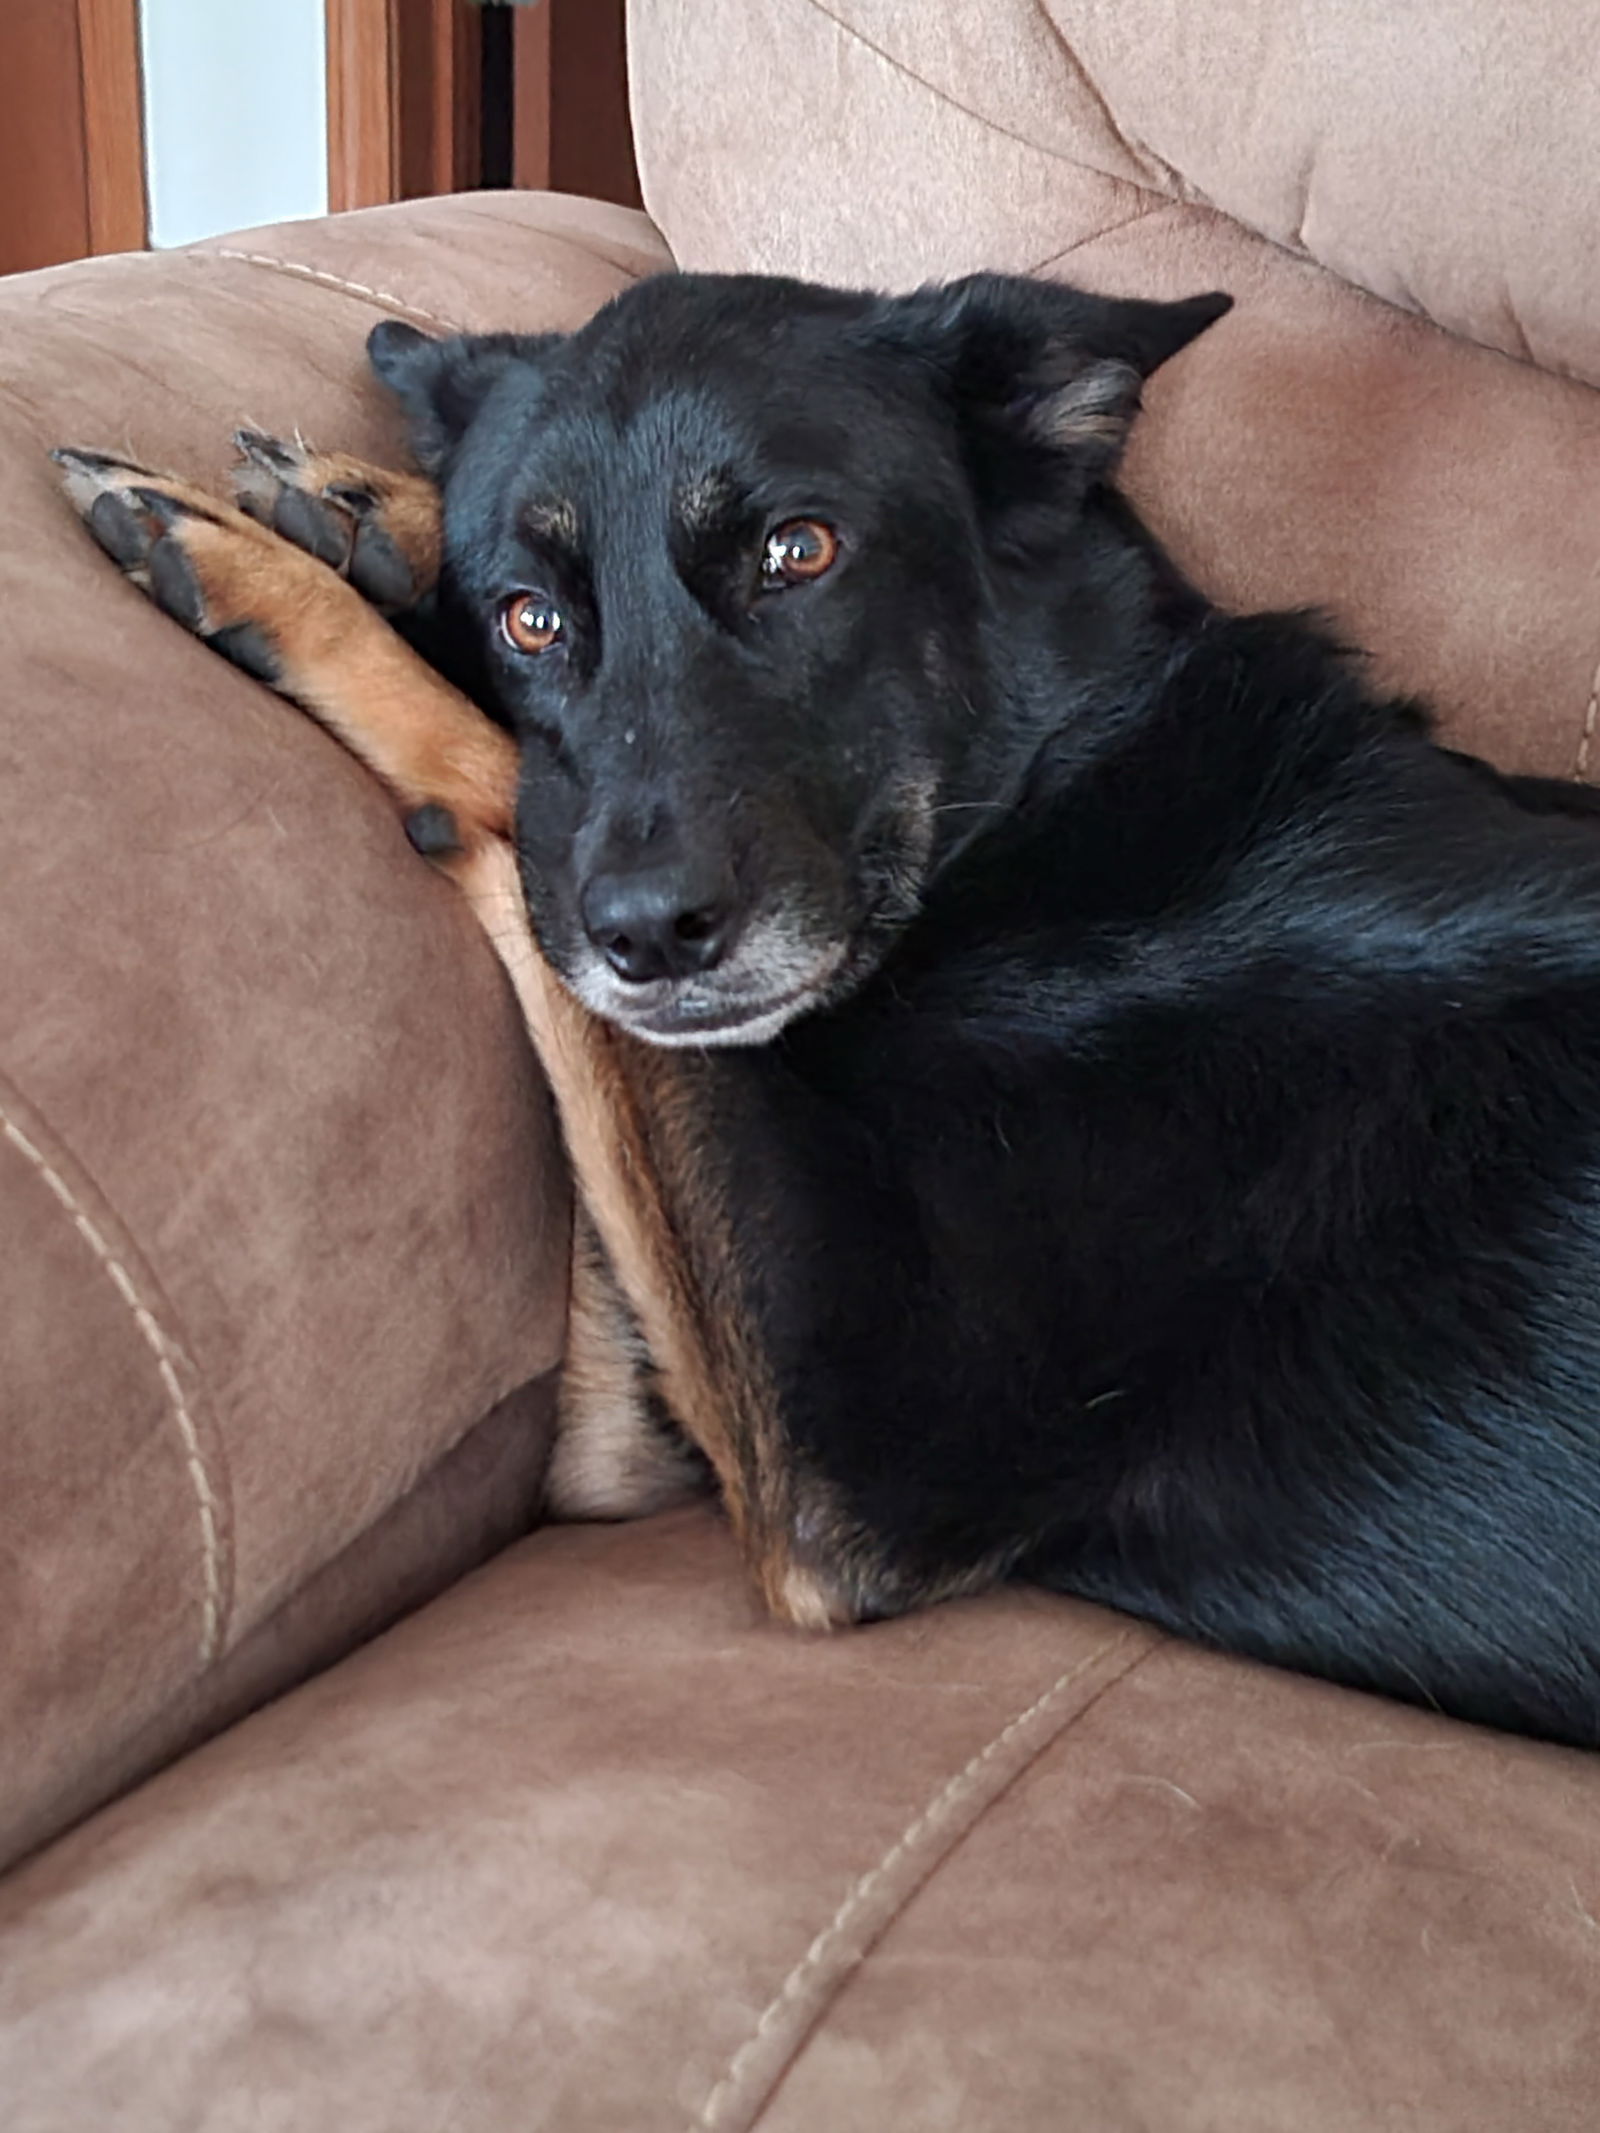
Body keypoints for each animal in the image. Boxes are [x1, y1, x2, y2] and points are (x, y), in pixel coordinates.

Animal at [56, 266, 1600, 1740]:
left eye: (800, 552)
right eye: (531, 617)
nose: (648, 937)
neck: (1065, 813)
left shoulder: (838, 1473)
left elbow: (499, 784)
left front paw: (269, 574)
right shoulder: (633, 1432)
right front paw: (372, 514)